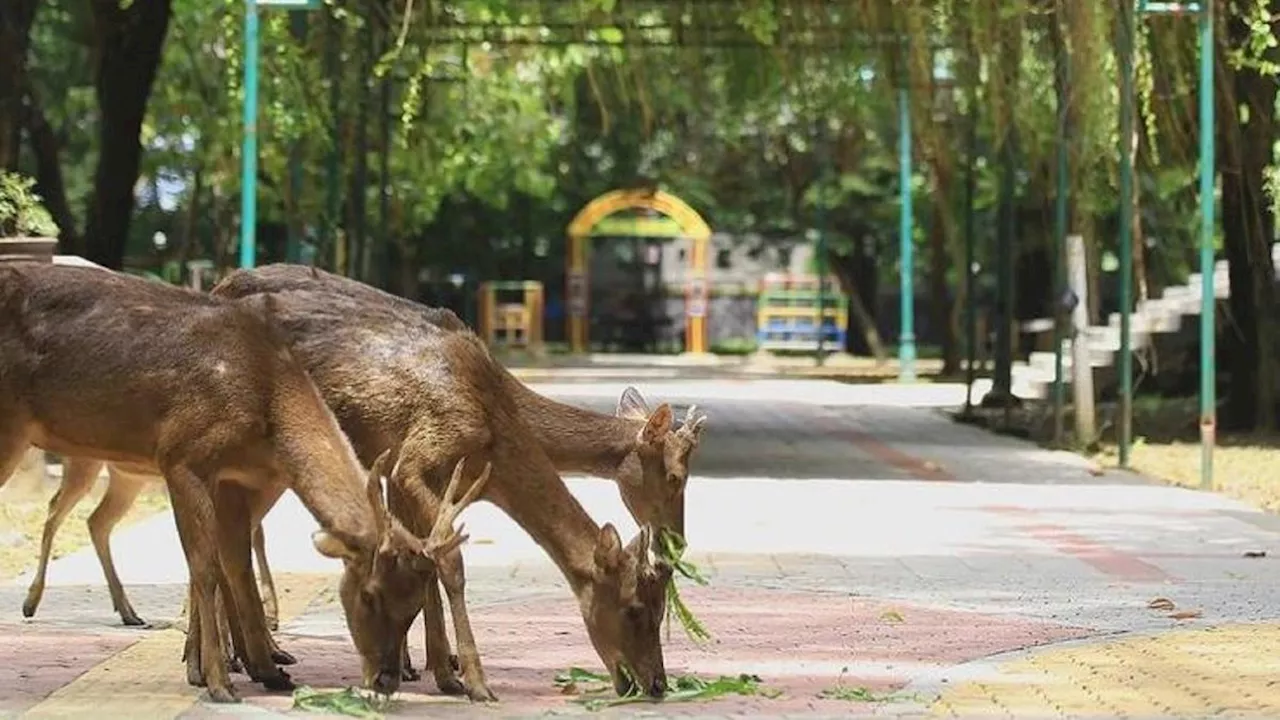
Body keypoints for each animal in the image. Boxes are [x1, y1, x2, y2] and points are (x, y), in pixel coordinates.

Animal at [0, 262, 483, 702]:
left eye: (412, 605)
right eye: (368, 595)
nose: (385, 679)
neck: (266, 403)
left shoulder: (240, 477)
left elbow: (236, 559)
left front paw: (266, 669)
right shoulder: (182, 454)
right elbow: (206, 566)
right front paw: (219, 681)